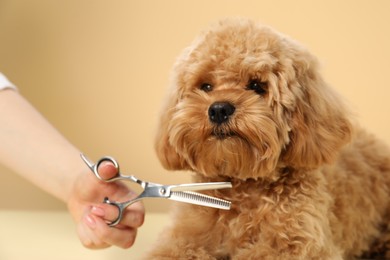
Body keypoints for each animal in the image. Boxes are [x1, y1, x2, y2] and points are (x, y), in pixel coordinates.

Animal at [145, 17, 390, 258]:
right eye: (206, 86)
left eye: (256, 86)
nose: (219, 109)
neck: (242, 186)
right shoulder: (185, 235)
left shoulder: (301, 243)